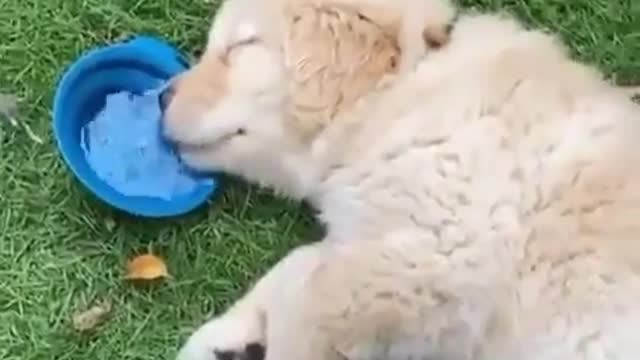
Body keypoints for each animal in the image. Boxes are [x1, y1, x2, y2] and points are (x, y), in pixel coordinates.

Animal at [161, 2, 640, 360]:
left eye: (241, 45)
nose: (162, 95)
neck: (397, 95)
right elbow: (301, 264)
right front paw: (226, 339)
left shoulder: (434, 252)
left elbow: (307, 292)